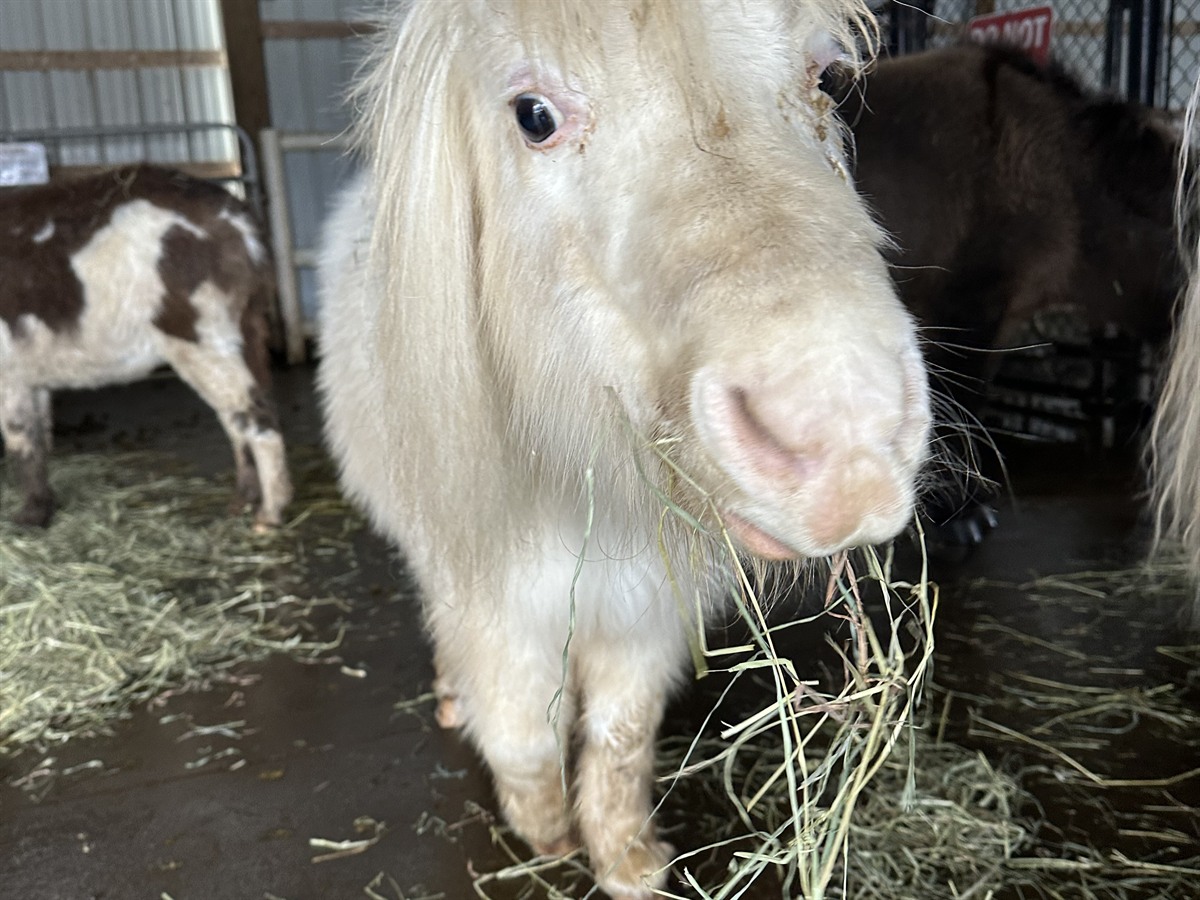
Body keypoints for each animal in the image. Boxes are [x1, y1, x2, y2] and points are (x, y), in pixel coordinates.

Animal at [0, 165, 291, 529]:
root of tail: (237, 217)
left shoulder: (9, 374)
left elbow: (19, 439)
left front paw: (28, 517)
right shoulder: (29, 374)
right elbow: (37, 439)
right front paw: (40, 509)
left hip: (201, 338)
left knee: (254, 413)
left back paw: (270, 514)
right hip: (244, 330)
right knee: (237, 416)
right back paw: (245, 499)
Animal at [316, 1, 930, 895]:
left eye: (825, 76)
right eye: (533, 116)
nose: (846, 443)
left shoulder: (645, 609)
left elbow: (619, 734)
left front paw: (627, 860)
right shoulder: (495, 601)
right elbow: (524, 730)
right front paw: (544, 834)